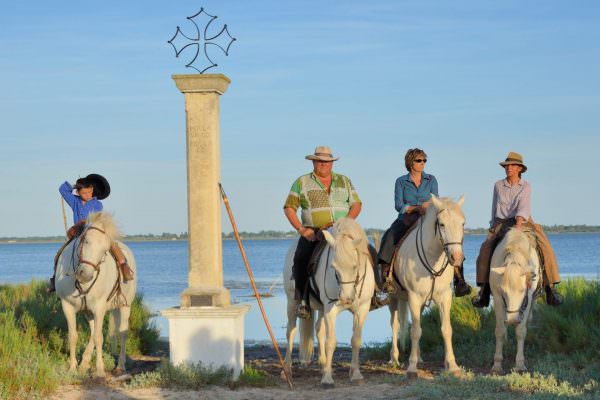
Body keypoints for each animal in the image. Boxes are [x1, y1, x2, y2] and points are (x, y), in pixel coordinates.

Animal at [55, 212, 137, 378]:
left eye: (105, 249)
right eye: (86, 240)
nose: (85, 275)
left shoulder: (99, 307)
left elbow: (99, 338)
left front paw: (99, 370)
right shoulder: (67, 306)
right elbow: (73, 336)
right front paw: (72, 368)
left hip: (125, 306)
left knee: (122, 333)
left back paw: (120, 366)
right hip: (89, 312)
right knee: (93, 332)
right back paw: (84, 363)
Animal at [282, 219, 376, 388]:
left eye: (355, 266)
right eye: (333, 267)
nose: (346, 299)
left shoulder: (362, 309)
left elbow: (356, 340)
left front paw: (355, 374)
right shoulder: (330, 310)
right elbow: (331, 342)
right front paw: (327, 379)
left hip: (320, 307)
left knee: (319, 329)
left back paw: (323, 364)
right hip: (292, 301)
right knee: (290, 331)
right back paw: (287, 370)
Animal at [386, 195, 466, 376]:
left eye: (463, 223)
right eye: (441, 224)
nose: (457, 258)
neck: (432, 258)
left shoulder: (444, 297)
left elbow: (446, 329)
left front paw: (452, 365)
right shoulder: (414, 297)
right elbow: (415, 331)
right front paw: (412, 367)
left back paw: (420, 357)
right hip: (393, 297)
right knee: (395, 324)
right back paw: (394, 359)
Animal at [490, 228, 540, 376]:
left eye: (523, 290)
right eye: (503, 291)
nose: (512, 319)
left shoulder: (528, 298)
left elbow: (520, 331)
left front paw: (520, 365)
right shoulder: (497, 298)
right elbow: (500, 331)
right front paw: (497, 364)